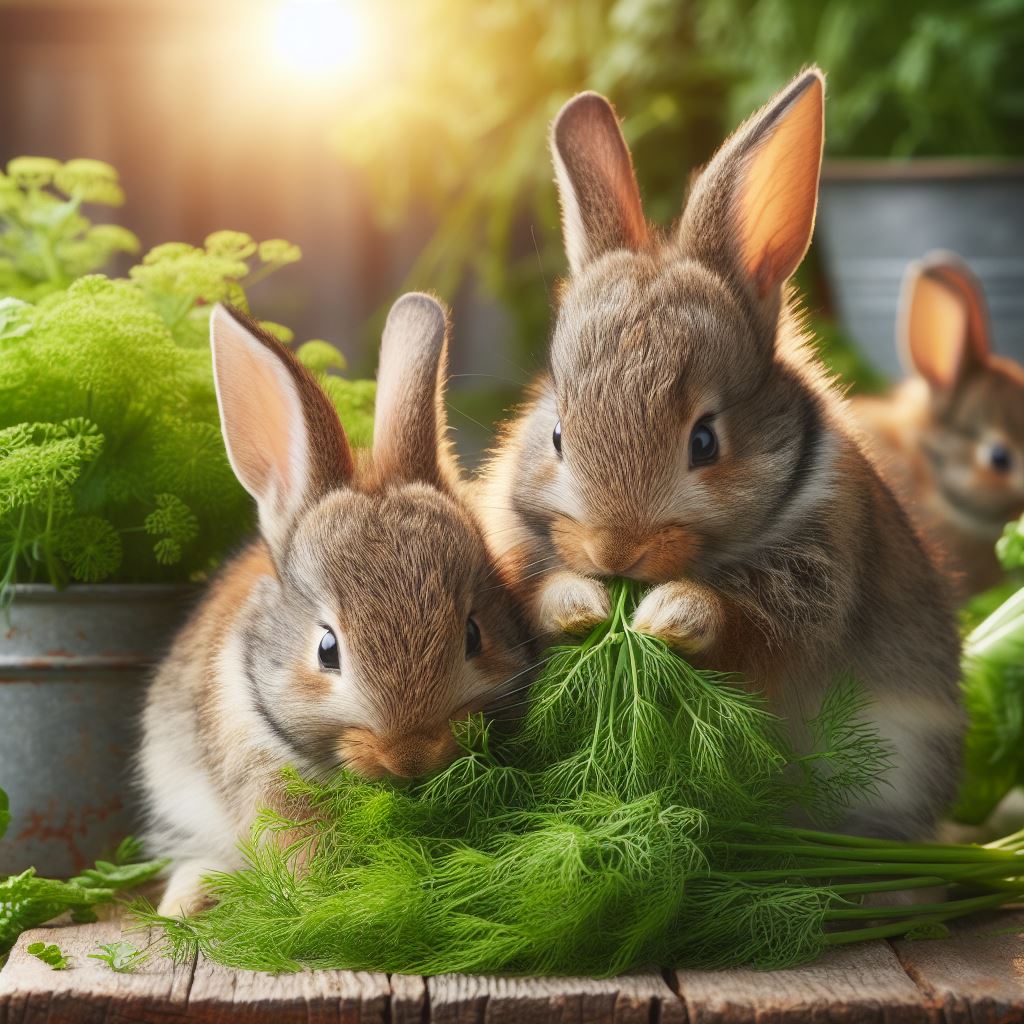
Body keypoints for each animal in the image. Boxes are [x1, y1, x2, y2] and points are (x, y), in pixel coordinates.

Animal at [475, 70, 962, 839]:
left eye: (705, 441)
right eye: (556, 435)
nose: (617, 551)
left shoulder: (808, 589)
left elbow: (741, 628)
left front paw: (666, 618)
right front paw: (584, 606)